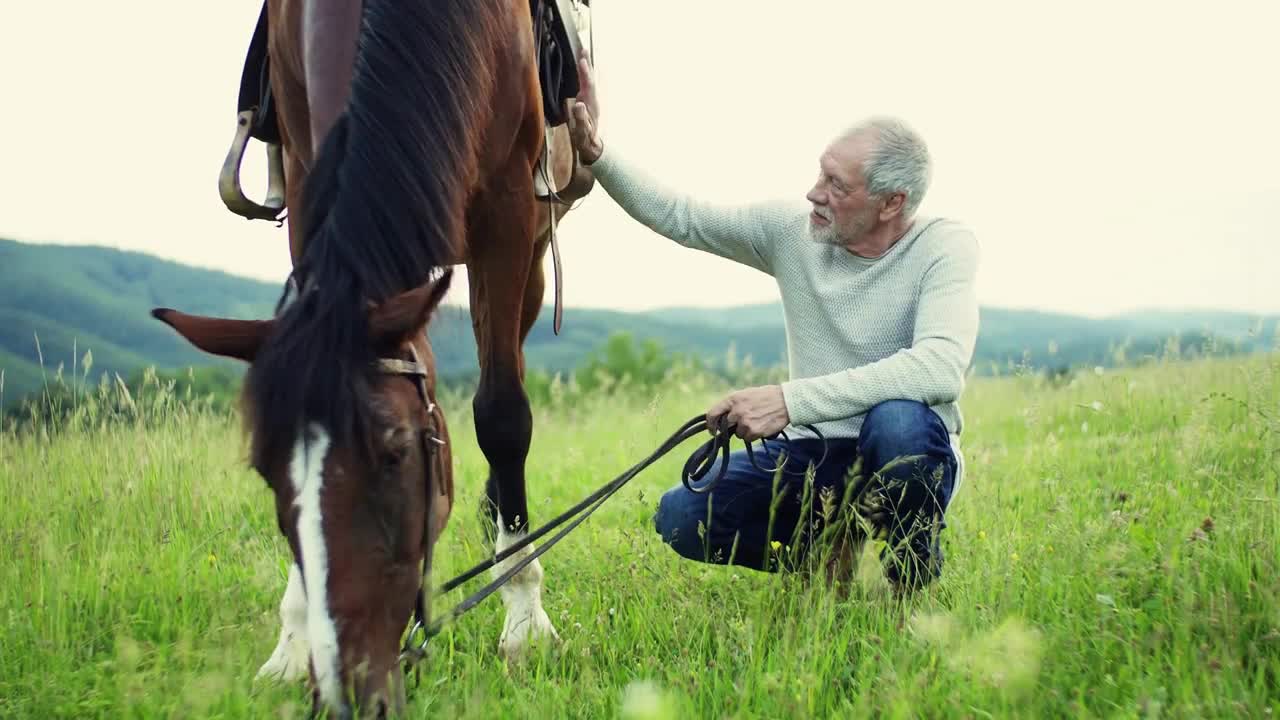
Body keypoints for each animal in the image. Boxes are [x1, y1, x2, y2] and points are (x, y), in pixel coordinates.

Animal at [153, 2, 588, 712]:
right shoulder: (305, 174)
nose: (348, 689)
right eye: (267, 472)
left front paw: (525, 621)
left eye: (396, 455)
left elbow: (501, 415)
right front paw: (291, 641)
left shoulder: (507, 207)